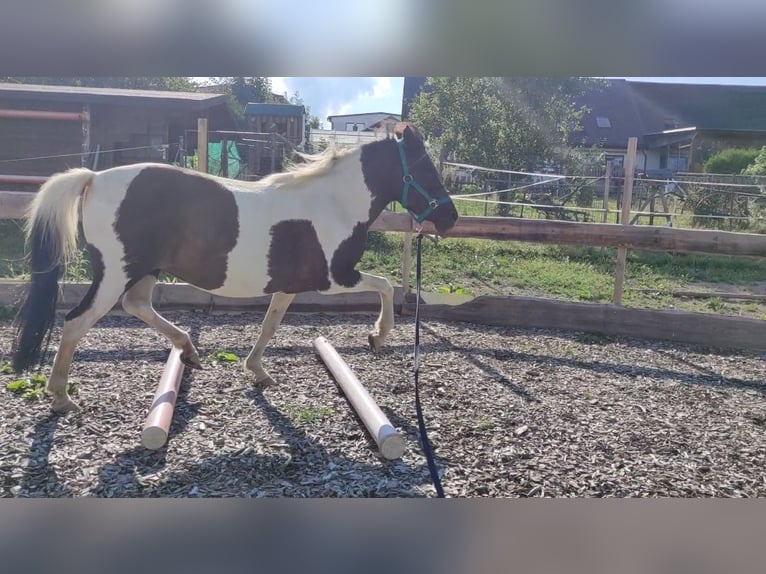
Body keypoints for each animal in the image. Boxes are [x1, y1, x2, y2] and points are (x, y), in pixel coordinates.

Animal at [12, 124, 460, 416]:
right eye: (426, 168)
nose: (451, 217)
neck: (334, 202)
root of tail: (94, 176)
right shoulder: (334, 278)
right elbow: (385, 286)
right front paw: (377, 336)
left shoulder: (288, 286)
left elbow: (270, 324)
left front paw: (257, 372)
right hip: (114, 275)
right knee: (76, 321)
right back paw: (61, 397)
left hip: (144, 271)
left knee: (137, 306)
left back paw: (189, 351)